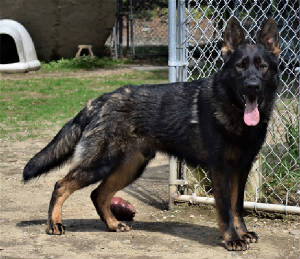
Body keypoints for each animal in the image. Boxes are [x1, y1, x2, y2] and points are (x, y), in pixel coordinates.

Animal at [22, 16, 278, 252]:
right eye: (240, 66)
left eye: (262, 66)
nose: (253, 86)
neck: (232, 109)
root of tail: (99, 101)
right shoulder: (220, 170)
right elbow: (226, 209)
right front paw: (232, 238)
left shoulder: (241, 169)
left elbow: (238, 206)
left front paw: (242, 233)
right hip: (100, 164)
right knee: (61, 185)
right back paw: (54, 224)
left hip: (129, 168)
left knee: (98, 194)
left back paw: (113, 224)